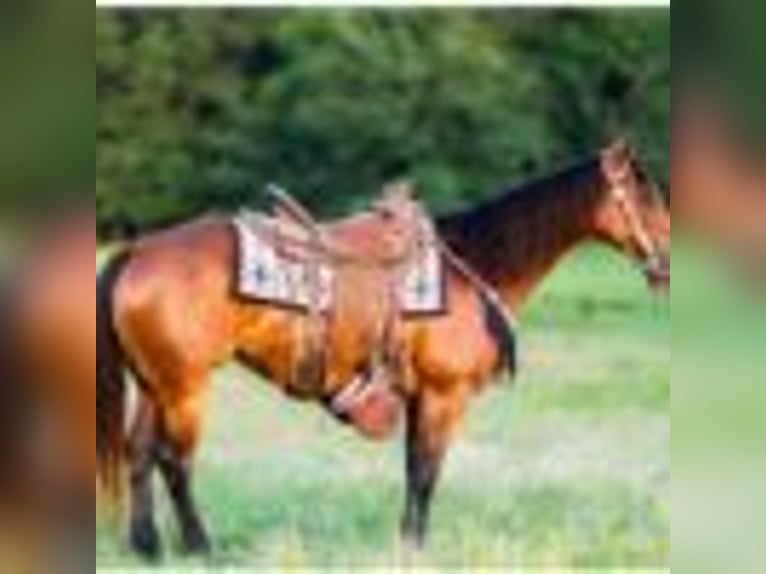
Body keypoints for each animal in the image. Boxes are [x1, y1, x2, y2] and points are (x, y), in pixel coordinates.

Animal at [97, 139, 669, 559]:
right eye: (644, 197)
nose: (664, 265)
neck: (475, 262)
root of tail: (135, 251)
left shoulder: (418, 398)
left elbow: (413, 469)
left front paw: (406, 543)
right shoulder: (443, 396)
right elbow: (427, 472)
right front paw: (416, 548)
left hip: (154, 386)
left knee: (139, 454)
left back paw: (147, 548)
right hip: (185, 387)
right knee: (175, 462)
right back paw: (200, 548)